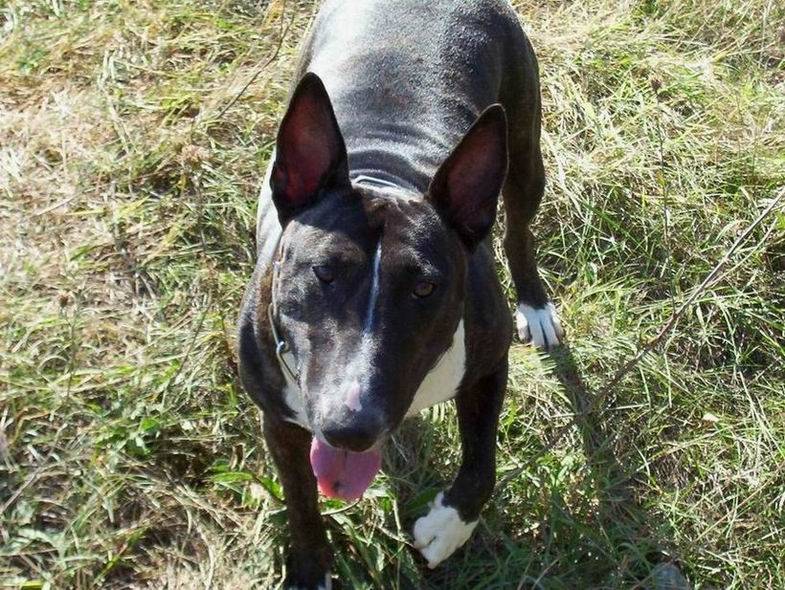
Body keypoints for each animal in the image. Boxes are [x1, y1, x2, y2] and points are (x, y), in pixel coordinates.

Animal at [237, 0, 563, 587]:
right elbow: (301, 502)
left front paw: (447, 529)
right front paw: (310, 568)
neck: (385, 173)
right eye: (323, 273)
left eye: (425, 288)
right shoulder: (279, 420)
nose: (351, 429)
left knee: (519, 226)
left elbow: (482, 464)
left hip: (524, 148)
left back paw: (535, 300)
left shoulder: (488, 362)